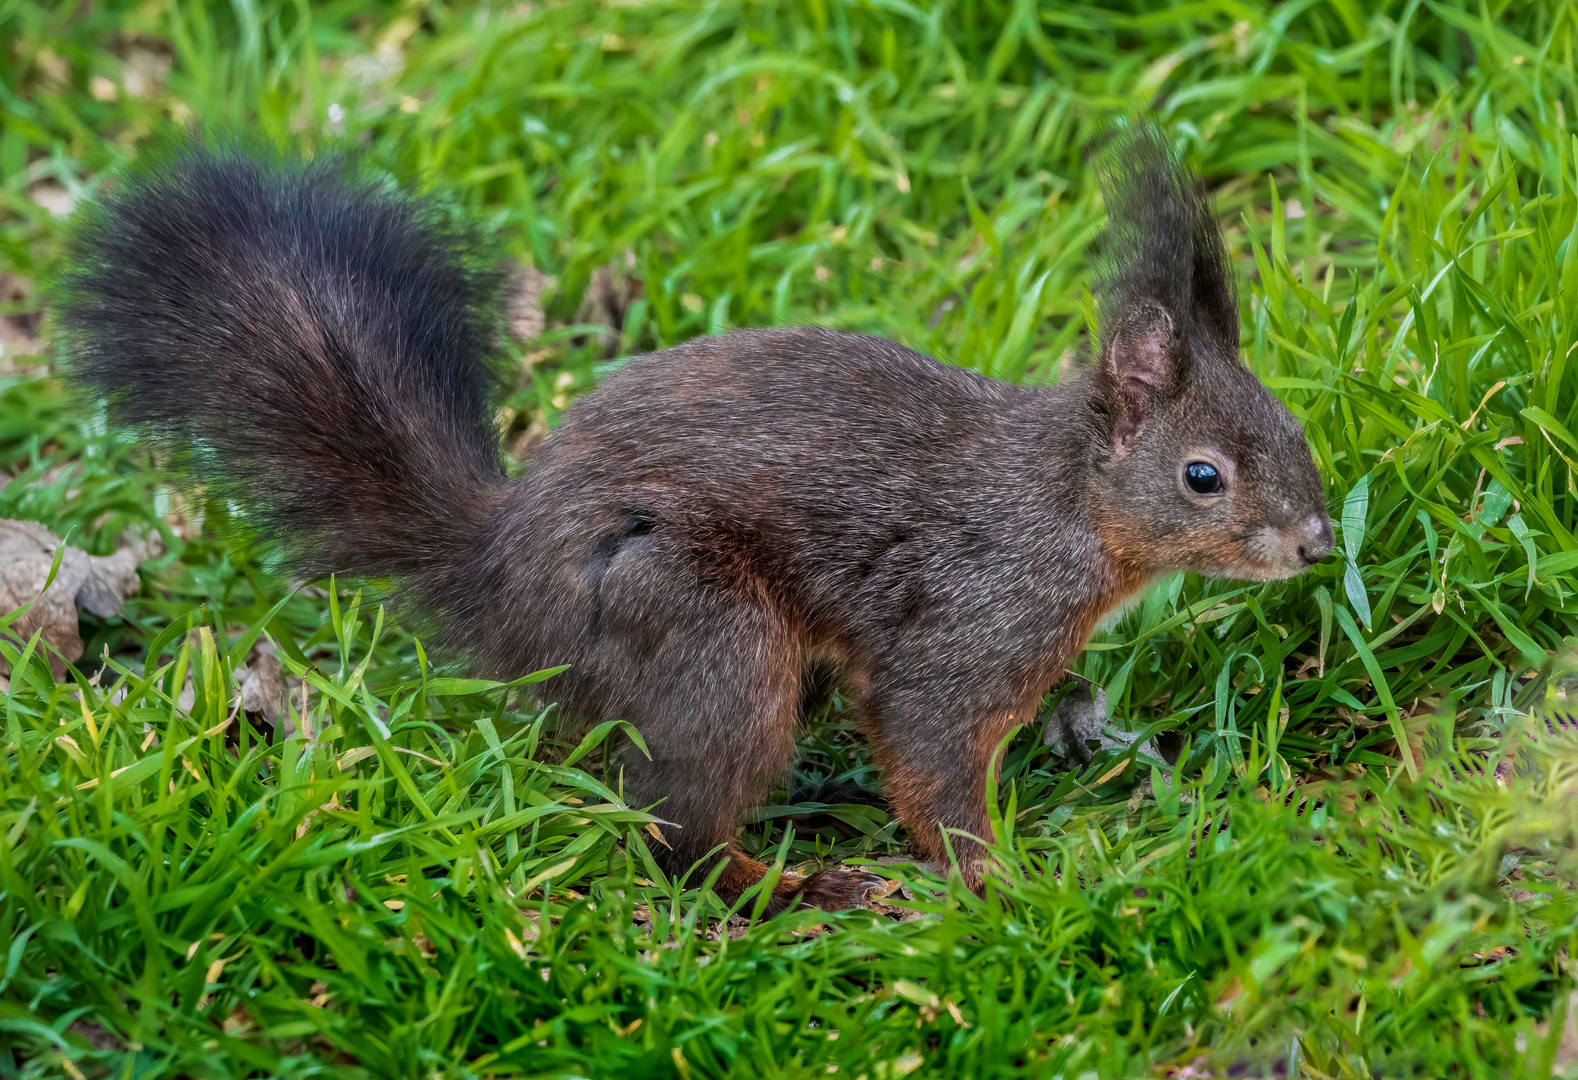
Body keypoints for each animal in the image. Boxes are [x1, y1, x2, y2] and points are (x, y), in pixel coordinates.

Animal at [52, 131, 1331, 915]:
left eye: (1295, 426)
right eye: (1205, 476)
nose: (1320, 543)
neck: (1070, 507)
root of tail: (497, 582)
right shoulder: (972, 622)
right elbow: (931, 756)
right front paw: (999, 887)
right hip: (711, 638)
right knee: (675, 835)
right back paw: (794, 888)